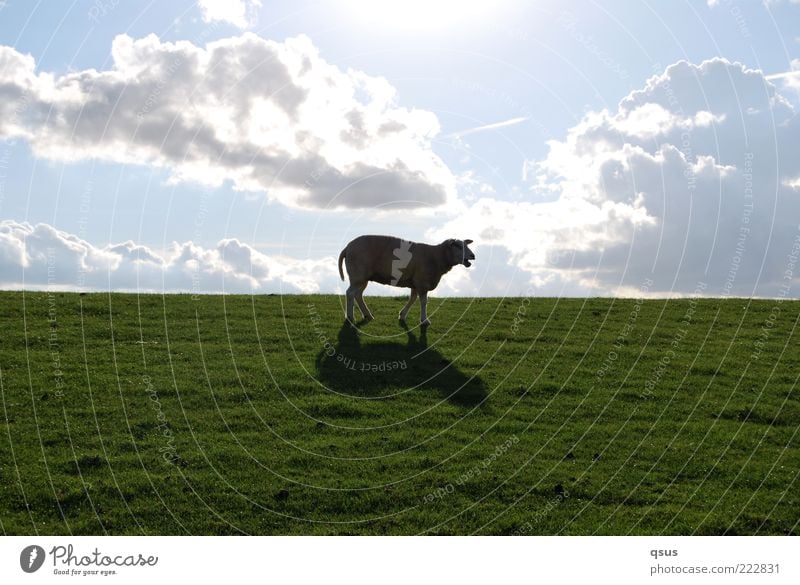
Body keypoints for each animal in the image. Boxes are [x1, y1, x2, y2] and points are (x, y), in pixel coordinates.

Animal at [338, 234, 476, 324]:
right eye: (458, 246)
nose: (473, 256)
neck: (437, 257)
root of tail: (347, 247)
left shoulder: (415, 283)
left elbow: (412, 299)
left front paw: (402, 315)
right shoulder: (422, 282)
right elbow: (423, 301)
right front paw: (424, 320)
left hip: (363, 277)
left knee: (358, 294)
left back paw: (368, 315)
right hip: (358, 274)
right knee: (350, 293)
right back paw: (350, 317)